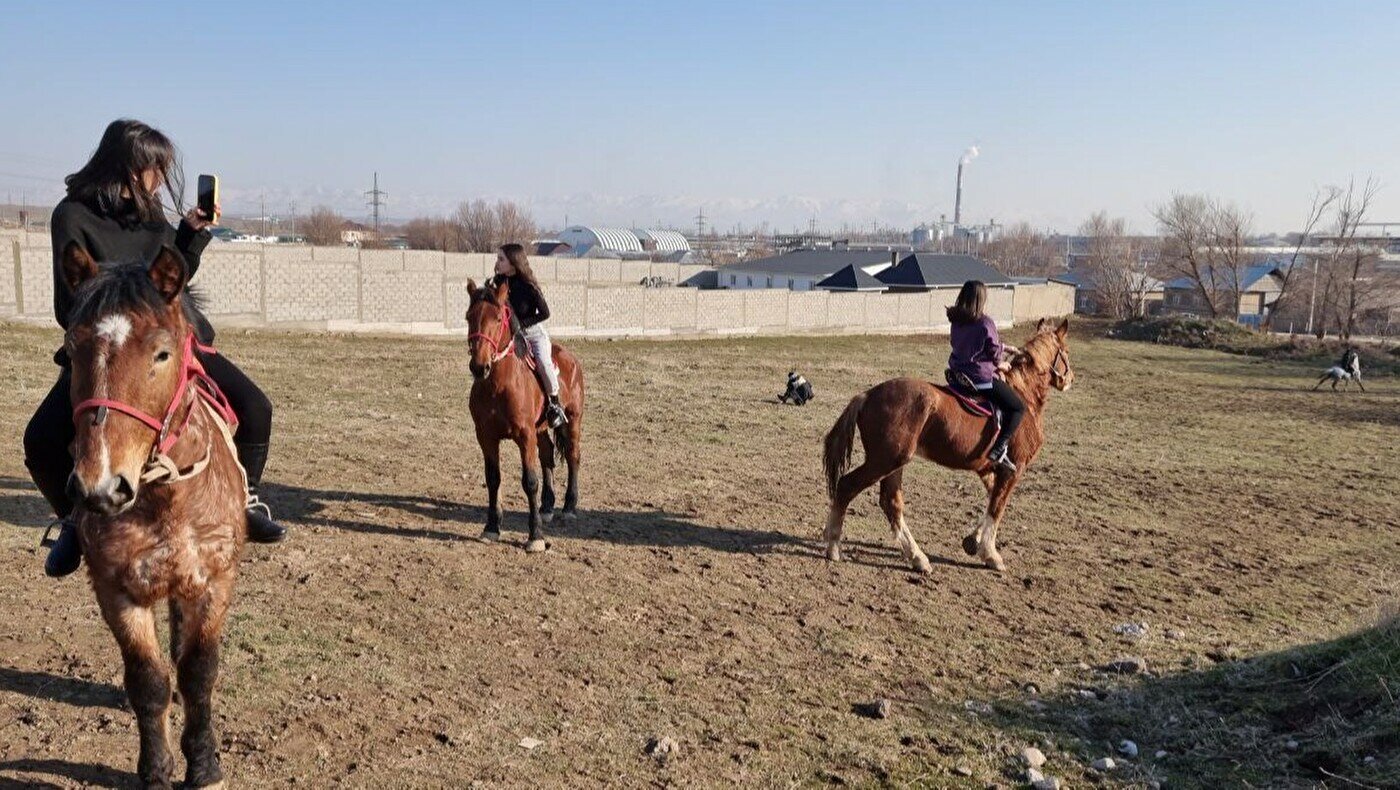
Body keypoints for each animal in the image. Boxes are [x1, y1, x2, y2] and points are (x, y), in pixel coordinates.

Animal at [59, 243, 249, 784]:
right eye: (71, 350)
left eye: (162, 354)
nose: (101, 487)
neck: (167, 500)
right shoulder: (115, 589)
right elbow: (147, 680)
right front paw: (156, 770)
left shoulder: (215, 580)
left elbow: (199, 669)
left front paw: (204, 766)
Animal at [467, 280, 582, 551]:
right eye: (468, 317)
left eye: (498, 318)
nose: (479, 366)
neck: (498, 385)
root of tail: (571, 359)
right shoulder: (486, 437)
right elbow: (493, 479)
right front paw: (492, 527)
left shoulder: (524, 435)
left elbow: (530, 481)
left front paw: (535, 536)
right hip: (540, 429)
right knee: (548, 456)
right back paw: (547, 506)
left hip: (572, 421)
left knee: (573, 456)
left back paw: (569, 507)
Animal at [817, 319, 1069, 574]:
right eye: (1065, 351)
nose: (1069, 381)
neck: (1025, 395)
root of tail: (867, 395)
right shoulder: (1013, 469)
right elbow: (997, 508)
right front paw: (991, 554)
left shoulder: (988, 469)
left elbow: (992, 501)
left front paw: (973, 541)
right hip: (884, 461)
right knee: (847, 486)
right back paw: (834, 546)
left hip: (894, 463)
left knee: (891, 504)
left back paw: (917, 557)